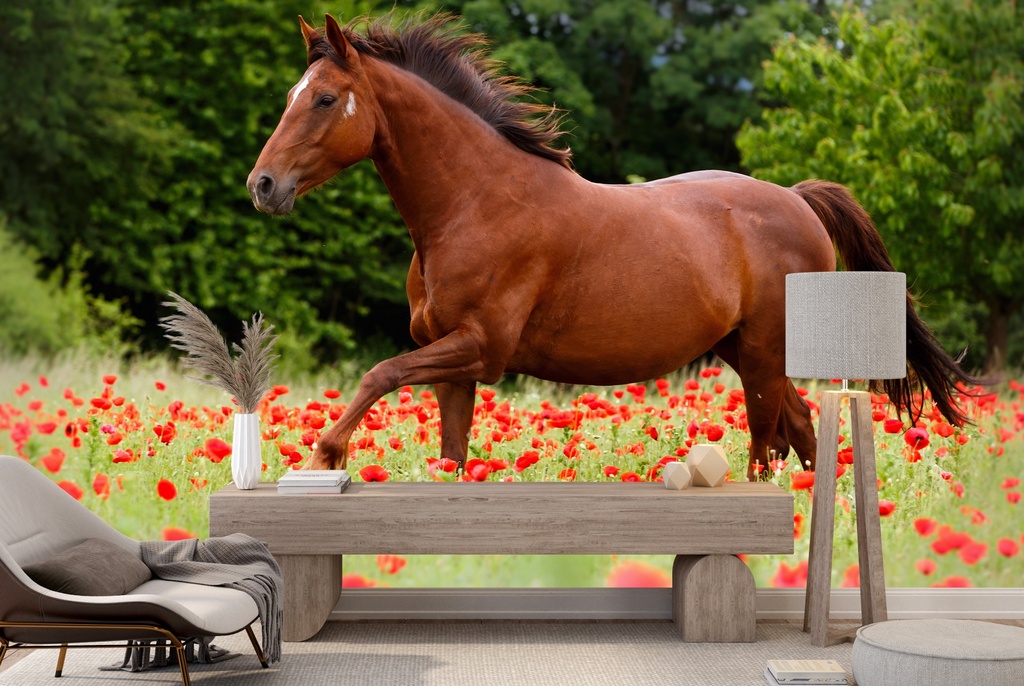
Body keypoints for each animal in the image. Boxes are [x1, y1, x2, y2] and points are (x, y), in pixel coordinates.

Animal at [247, 13, 976, 480]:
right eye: (291, 94)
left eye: (325, 99)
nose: (263, 185)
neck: (474, 205)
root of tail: (799, 200)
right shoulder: (453, 365)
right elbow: (451, 455)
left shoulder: (480, 347)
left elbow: (379, 373)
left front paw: (325, 454)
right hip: (745, 353)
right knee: (797, 433)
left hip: (766, 357)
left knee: (767, 446)